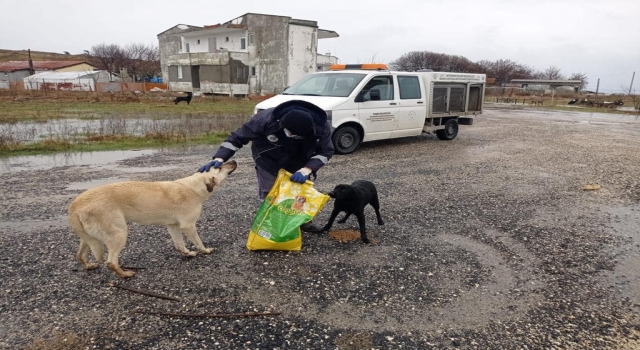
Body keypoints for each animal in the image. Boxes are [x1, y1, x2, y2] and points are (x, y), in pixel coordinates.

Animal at [68, 160, 238, 278]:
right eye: (220, 167)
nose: (235, 161)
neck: (194, 186)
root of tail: (75, 205)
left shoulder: (173, 226)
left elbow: (179, 245)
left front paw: (188, 254)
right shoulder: (188, 226)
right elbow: (198, 242)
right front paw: (205, 251)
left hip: (89, 239)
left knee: (80, 254)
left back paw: (89, 265)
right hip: (119, 234)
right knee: (110, 262)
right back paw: (125, 274)